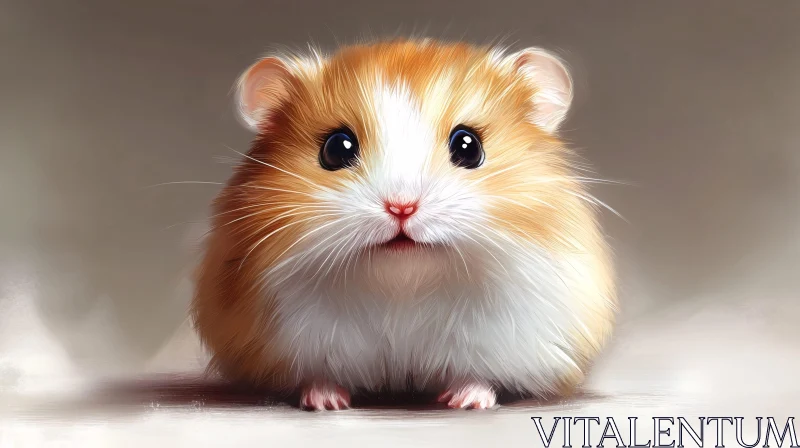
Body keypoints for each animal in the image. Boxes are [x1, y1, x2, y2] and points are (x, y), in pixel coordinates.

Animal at [192, 39, 616, 410]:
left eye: (469, 147)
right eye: (336, 148)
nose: (401, 207)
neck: (402, 283)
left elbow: (480, 375)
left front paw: (465, 401)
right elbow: (318, 376)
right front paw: (326, 403)